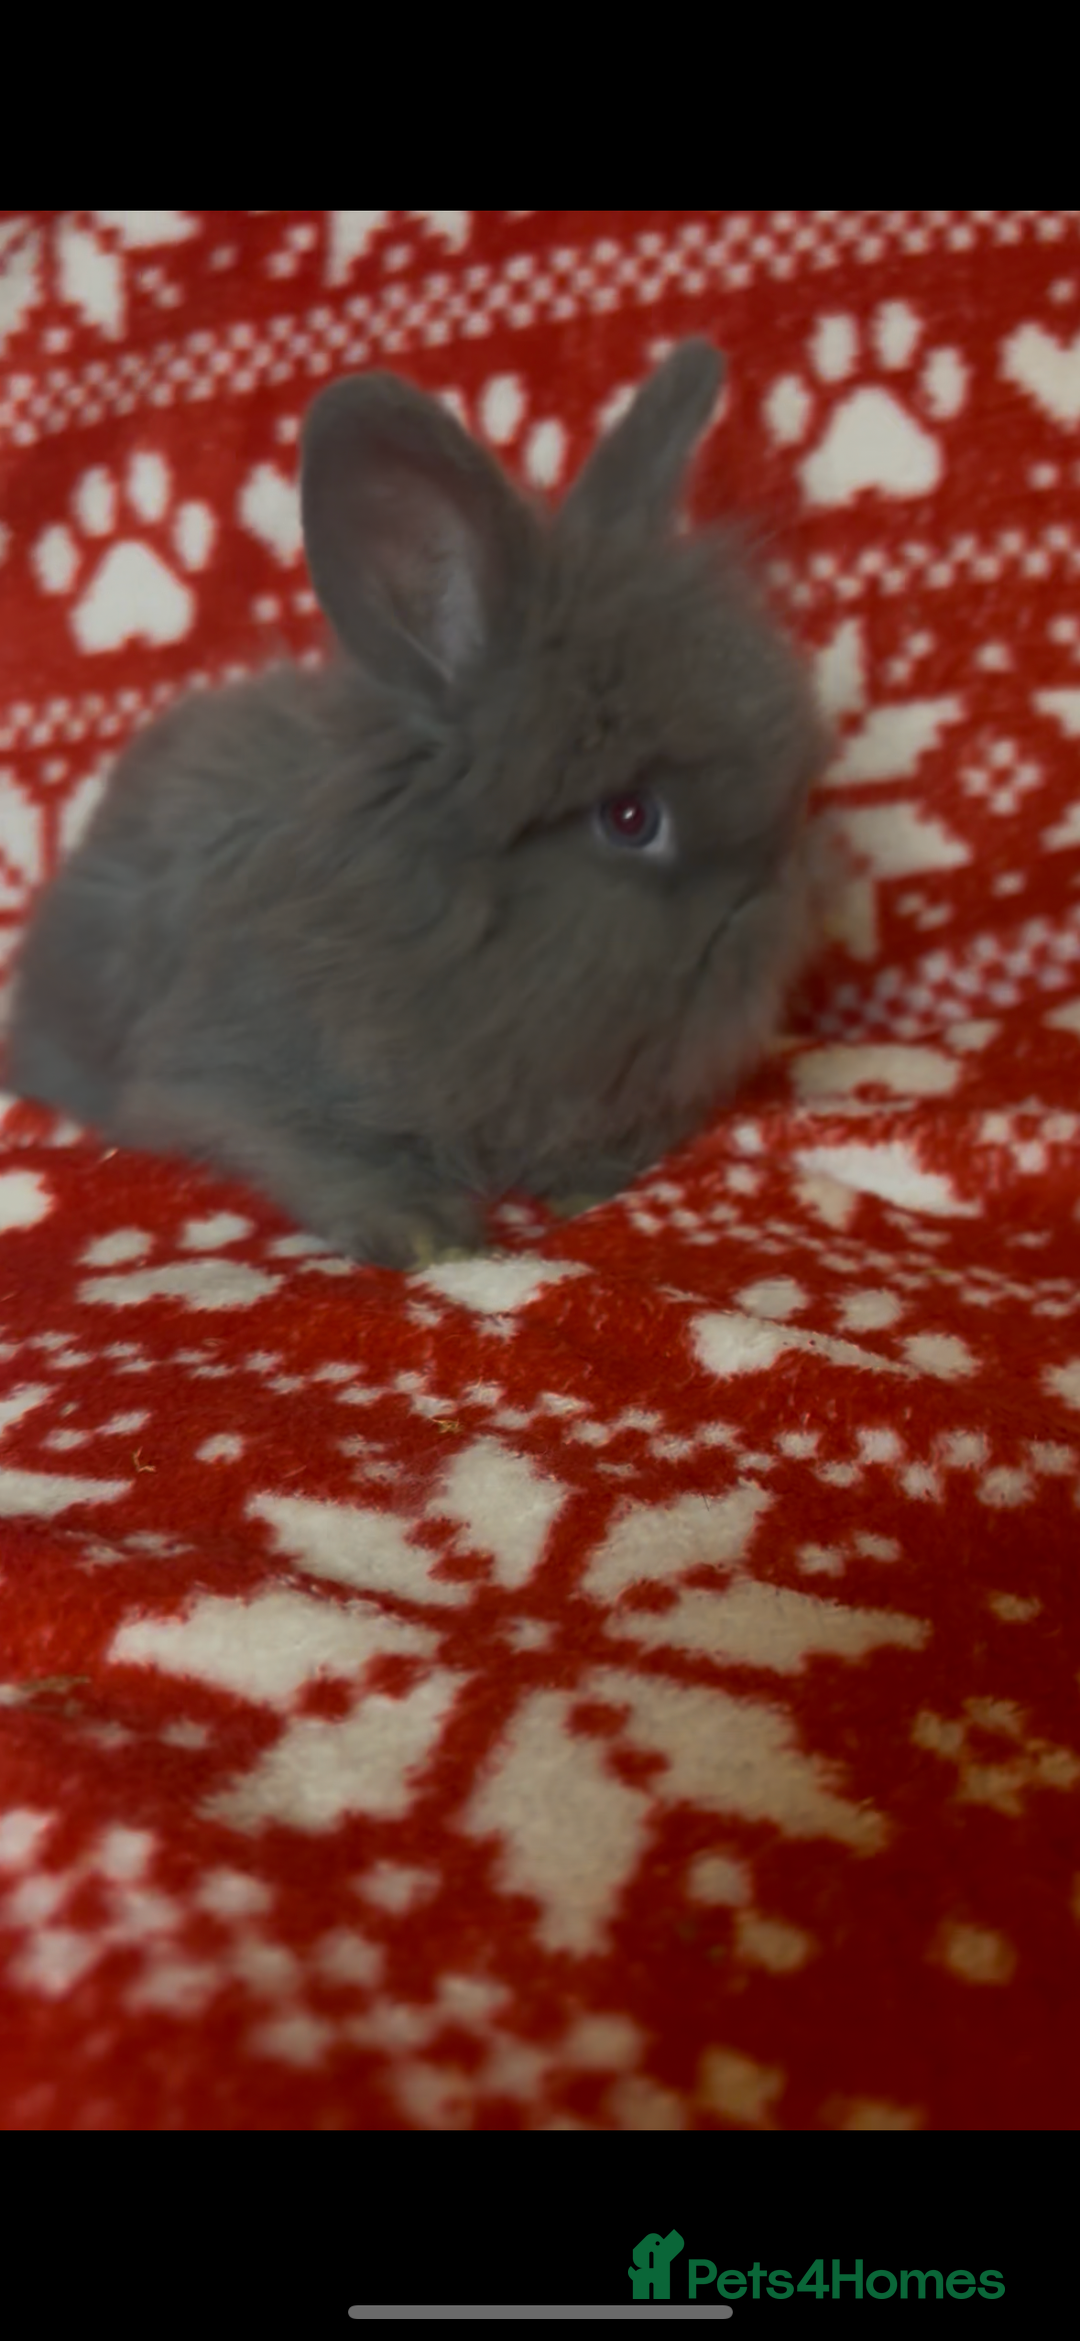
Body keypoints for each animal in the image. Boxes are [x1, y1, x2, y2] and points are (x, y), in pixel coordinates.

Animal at [6, 341, 826, 1269]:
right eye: (630, 818)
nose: (773, 899)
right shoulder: (233, 1073)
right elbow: (321, 1148)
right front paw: (429, 1234)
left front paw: (588, 1186)